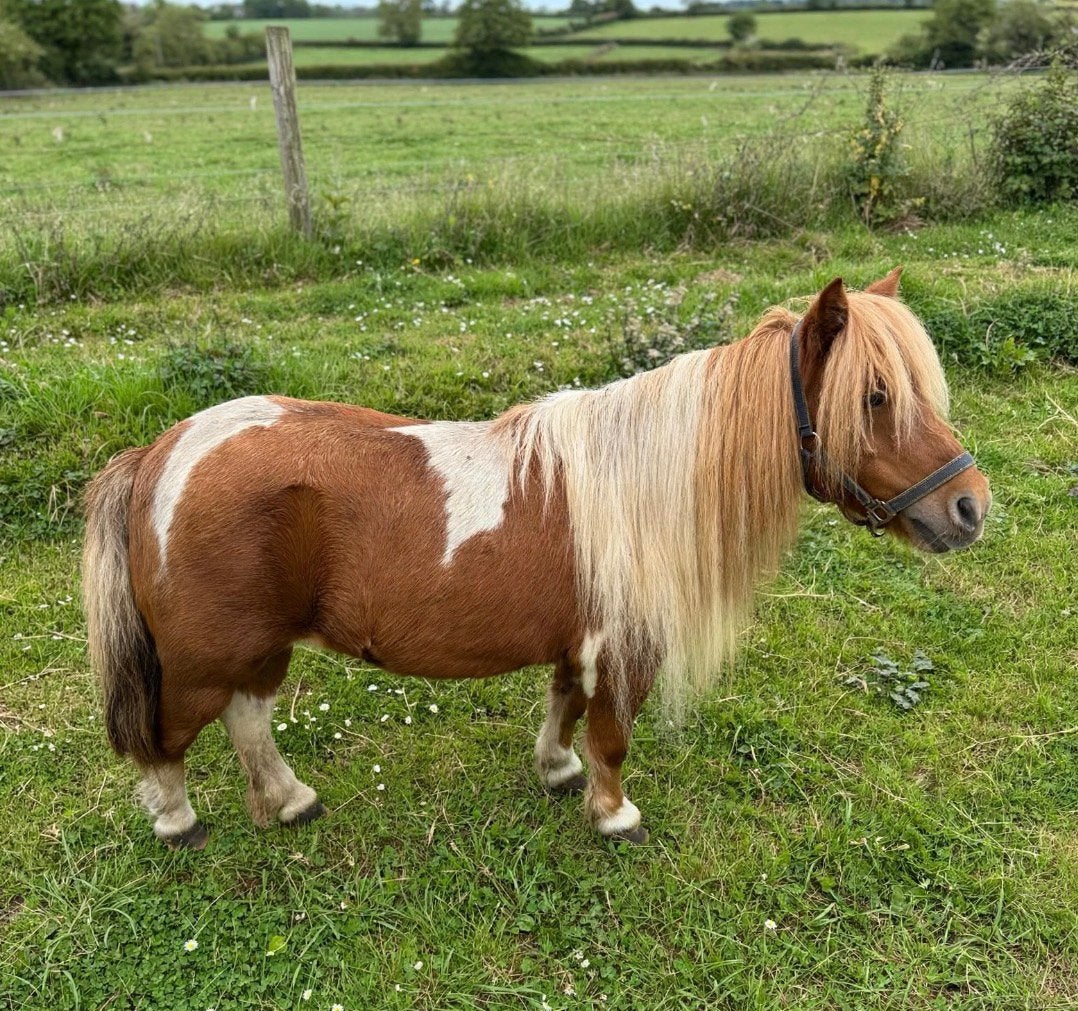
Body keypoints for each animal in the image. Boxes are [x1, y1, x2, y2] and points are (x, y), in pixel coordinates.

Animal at [82, 269, 991, 850]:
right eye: (876, 396)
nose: (971, 506)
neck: (643, 477)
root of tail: (158, 453)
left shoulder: (579, 639)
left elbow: (564, 707)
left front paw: (557, 770)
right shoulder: (626, 647)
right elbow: (613, 735)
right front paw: (613, 814)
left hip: (255, 648)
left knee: (247, 719)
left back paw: (289, 799)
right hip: (208, 655)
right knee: (171, 738)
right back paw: (177, 818)